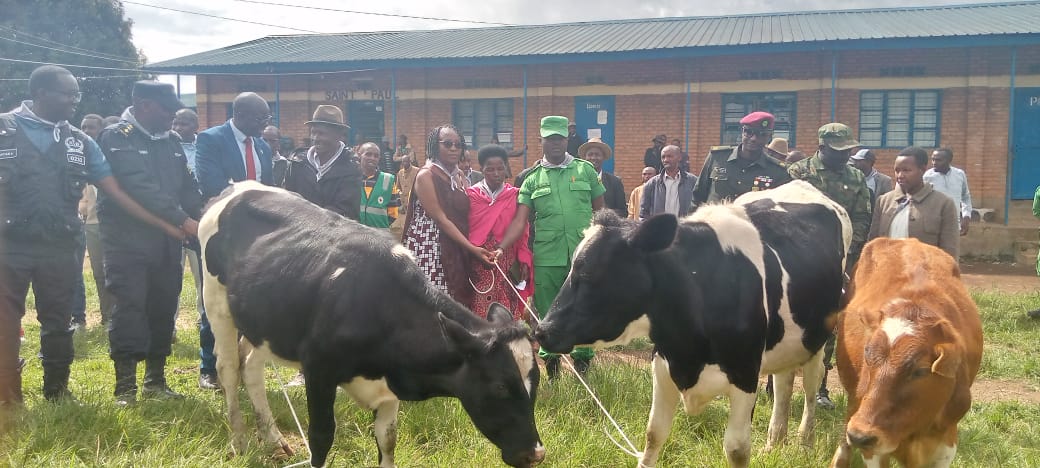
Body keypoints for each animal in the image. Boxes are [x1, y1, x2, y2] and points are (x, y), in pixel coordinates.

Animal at [197, 182, 549, 467]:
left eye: (535, 381)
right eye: (500, 386)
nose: (535, 454)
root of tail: (236, 188)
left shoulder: (388, 388)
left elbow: (388, 439)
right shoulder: (318, 370)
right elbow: (321, 439)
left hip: (264, 322)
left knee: (250, 366)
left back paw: (274, 441)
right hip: (216, 304)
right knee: (229, 369)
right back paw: (239, 442)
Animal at [532, 180, 848, 467]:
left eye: (589, 273)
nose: (542, 331)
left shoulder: (745, 376)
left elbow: (736, 449)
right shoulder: (663, 365)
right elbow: (653, 436)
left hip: (816, 339)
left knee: (809, 387)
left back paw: (804, 443)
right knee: (783, 383)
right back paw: (774, 443)